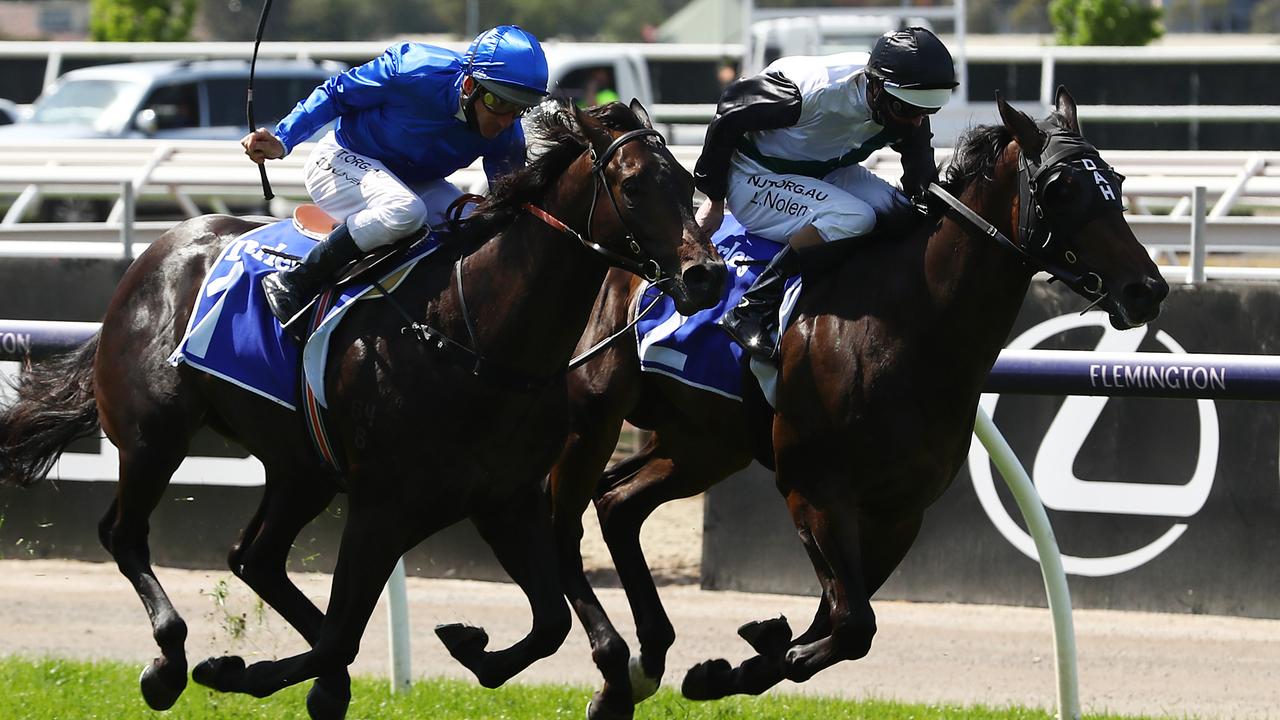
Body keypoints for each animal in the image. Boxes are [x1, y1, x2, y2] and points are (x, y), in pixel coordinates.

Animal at [0, 102, 721, 717]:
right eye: (633, 185)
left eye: (687, 180)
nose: (706, 274)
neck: (474, 336)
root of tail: (159, 249)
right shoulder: (382, 508)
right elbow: (342, 637)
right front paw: (234, 672)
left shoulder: (504, 502)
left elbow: (549, 621)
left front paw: (473, 650)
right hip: (155, 436)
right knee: (125, 534)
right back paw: (169, 665)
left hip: (301, 469)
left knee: (254, 557)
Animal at [550, 87, 1172, 712]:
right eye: (1059, 188)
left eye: (1115, 180)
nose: (1147, 289)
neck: (908, 327)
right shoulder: (815, 493)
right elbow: (852, 624)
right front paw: (766, 653)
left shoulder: (900, 512)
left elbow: (836, 618)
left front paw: (731, 668)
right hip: (595, 416)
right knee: (565, 513)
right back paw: (615, 660)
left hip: (704, 445)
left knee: (618, 502)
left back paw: (641, 665)